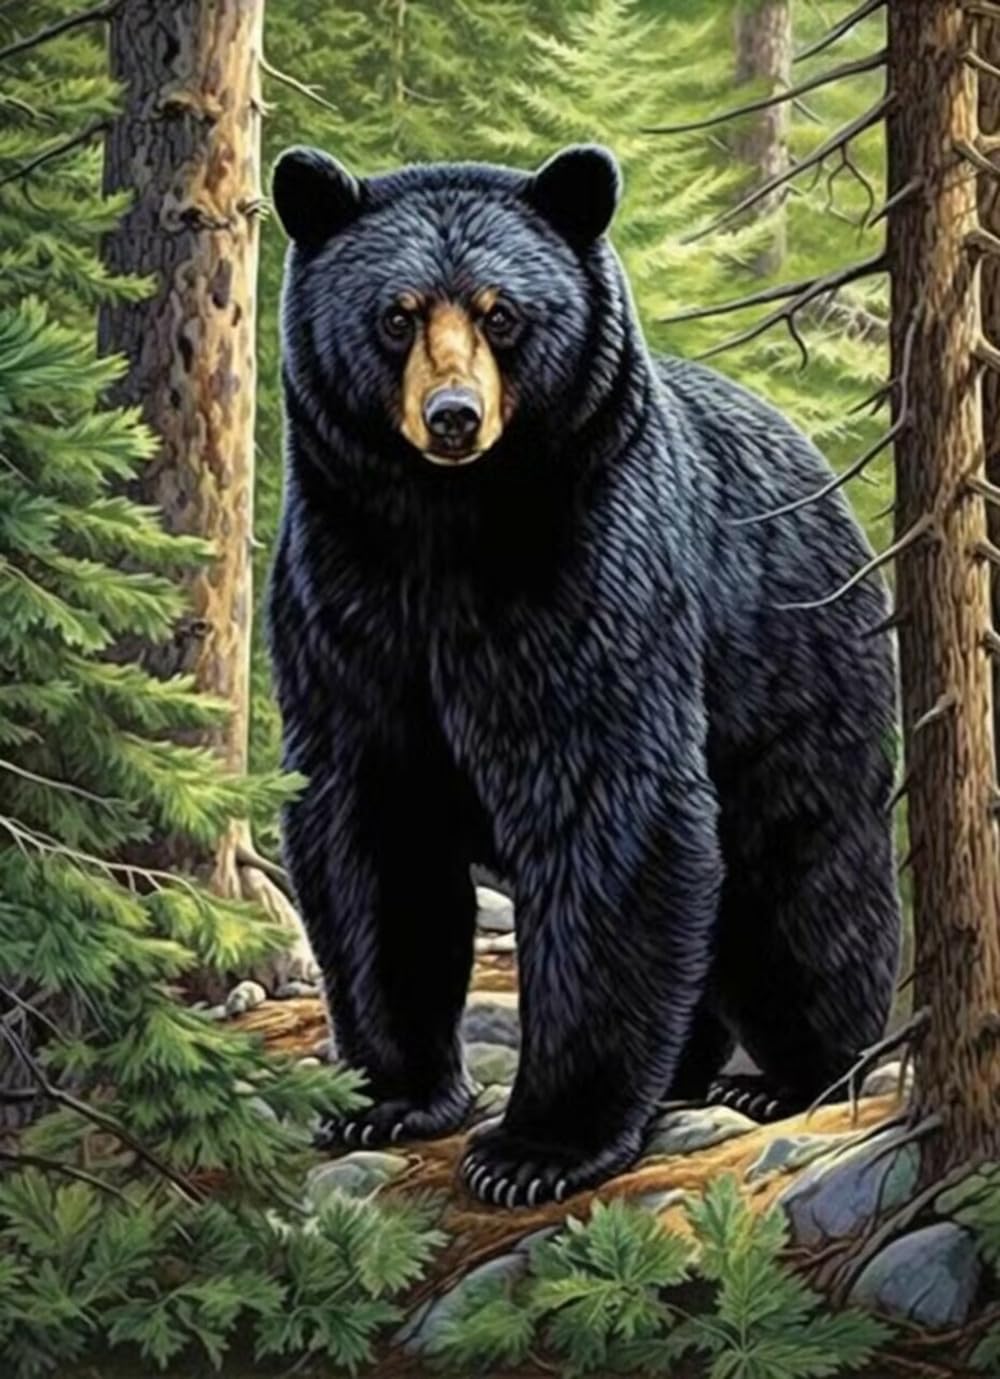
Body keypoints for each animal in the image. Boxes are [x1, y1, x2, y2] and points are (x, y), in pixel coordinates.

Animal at [267, 142, 901, 1209]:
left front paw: (537, 1147)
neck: (443, 526)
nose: (452, 416)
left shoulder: (595, 571)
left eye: (502, 314)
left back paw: (793, 1075)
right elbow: (372, 830)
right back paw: (688, 1069)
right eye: (396, 313)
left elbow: (608, 807)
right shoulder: (346, 601)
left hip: (794, 665)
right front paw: (387, 1097)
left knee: (802, 870)